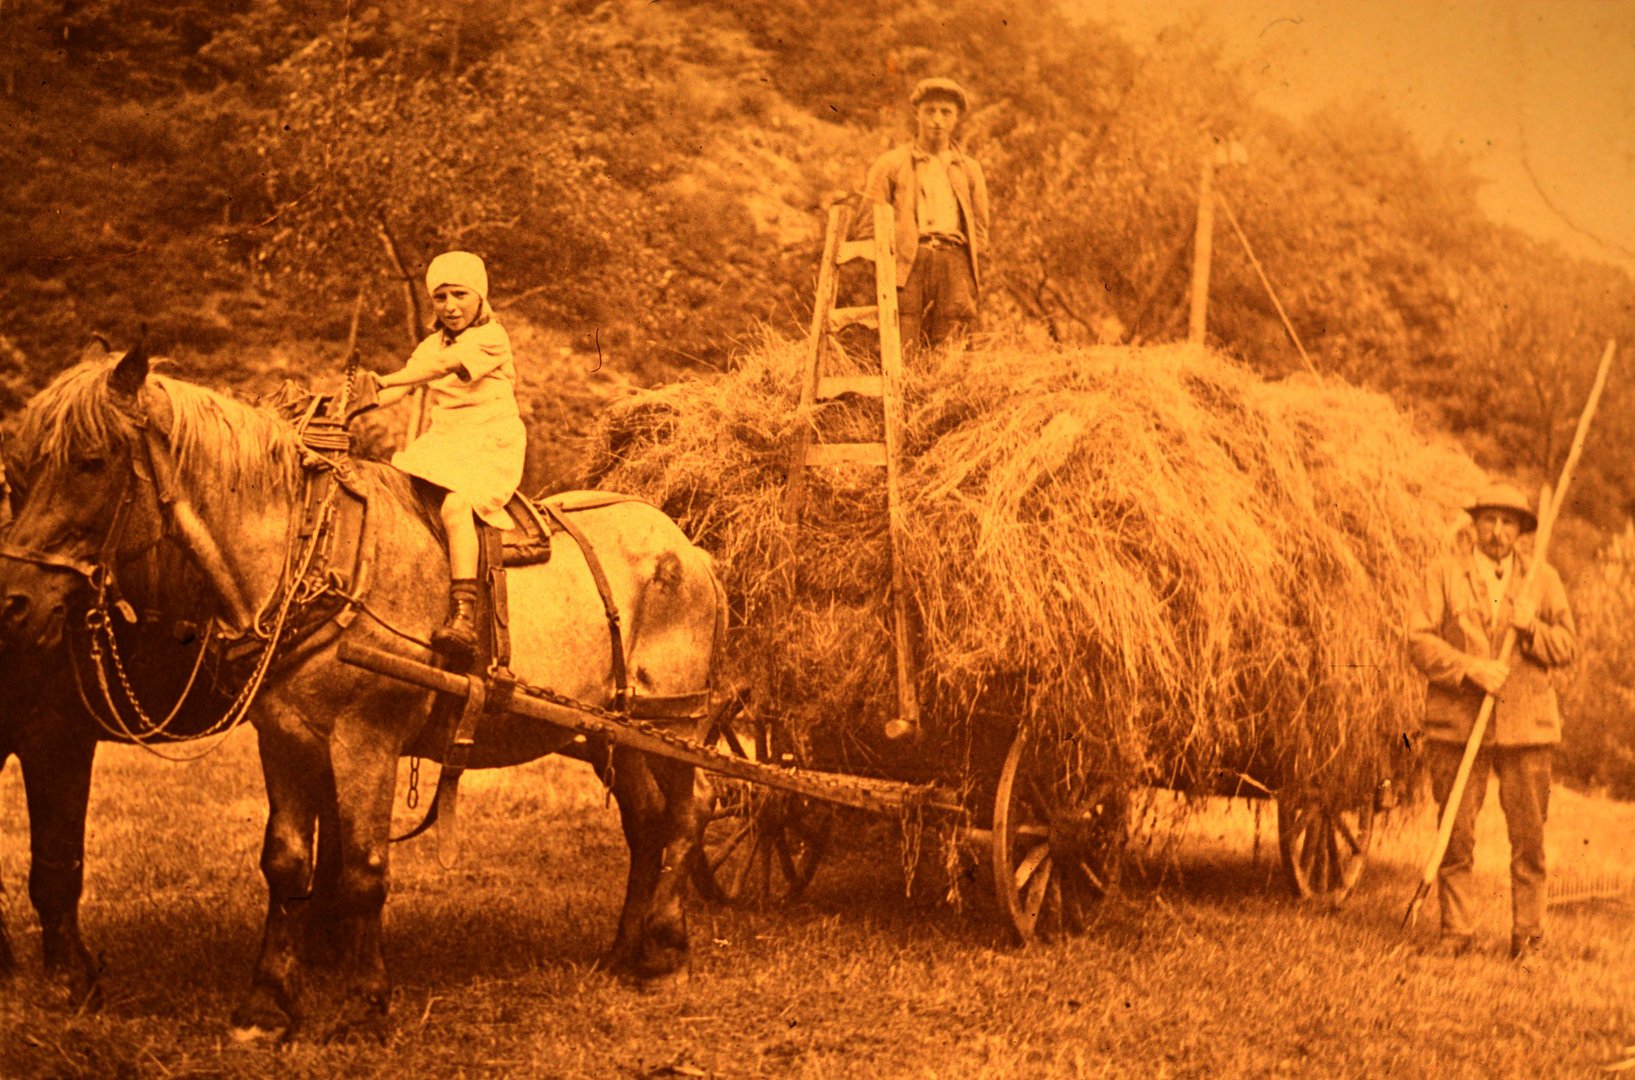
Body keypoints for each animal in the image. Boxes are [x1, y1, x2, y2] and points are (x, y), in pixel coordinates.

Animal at [0, 344, 722, 1039]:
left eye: (91, 462)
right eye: (19, 473)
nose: (15, 600)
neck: (315, 553)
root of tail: (689, 549)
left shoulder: (365, 739)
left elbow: (365, 871)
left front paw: (366, 1005)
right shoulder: (285, 735)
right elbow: (286, 863)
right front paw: (267, 1005)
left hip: (676, 727)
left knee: (688, 815)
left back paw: (666, 953)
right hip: (616, 731)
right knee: (647, 824)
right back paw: (624, 954)